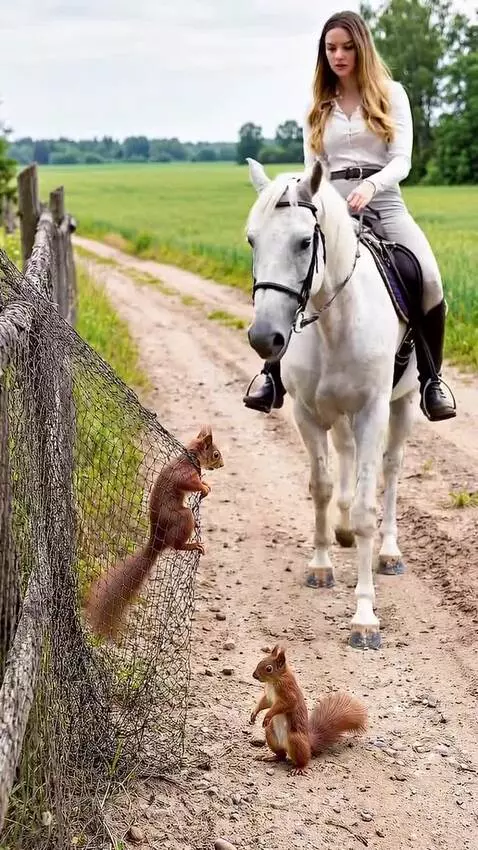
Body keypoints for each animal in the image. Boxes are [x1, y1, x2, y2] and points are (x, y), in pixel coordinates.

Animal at [84, 424, 224, 641]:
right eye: (216, 454)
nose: (222, 464)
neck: (190, 457)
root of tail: (156, 541)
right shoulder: (184, 474)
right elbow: (190, 483)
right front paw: (204, 487)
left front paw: (207, 486)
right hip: (183, 518)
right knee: (176, 545)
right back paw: (192, 545)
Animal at [250, 645, 367, 775]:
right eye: (261, 661)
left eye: (269, 668)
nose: (254, 675)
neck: (274, 681)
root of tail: (309, 743)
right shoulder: (269, 697)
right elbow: (263, 703)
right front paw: (254, 714)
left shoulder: (288, 693)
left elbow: (285, 705)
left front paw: (267, 716)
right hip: (271, 735)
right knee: (281, 755)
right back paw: (271, 757)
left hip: (295, 740)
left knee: (304, 759)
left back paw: (299, 768)